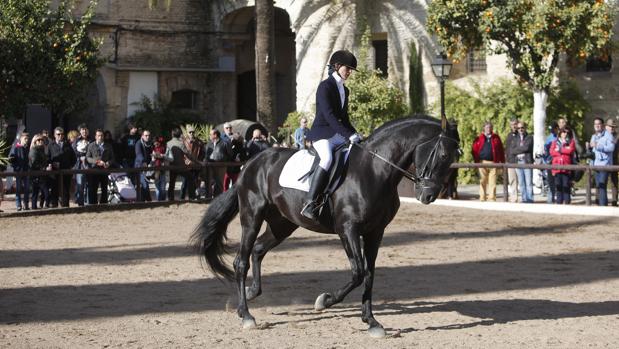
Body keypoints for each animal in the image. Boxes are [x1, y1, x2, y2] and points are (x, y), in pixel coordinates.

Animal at [193, 114, 460, 338]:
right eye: (443, 155)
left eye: (454, 158)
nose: (428, 196)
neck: (375, 170)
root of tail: (250, 163)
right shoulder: (348, 230)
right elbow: (358, 272)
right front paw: (325, 300)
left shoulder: (375, 232)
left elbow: (370, 274)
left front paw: (371, 322)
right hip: (252, 216)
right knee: (241, 261)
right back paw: (246, 314)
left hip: (283, 224)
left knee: (258, 250)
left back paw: (249, 294)